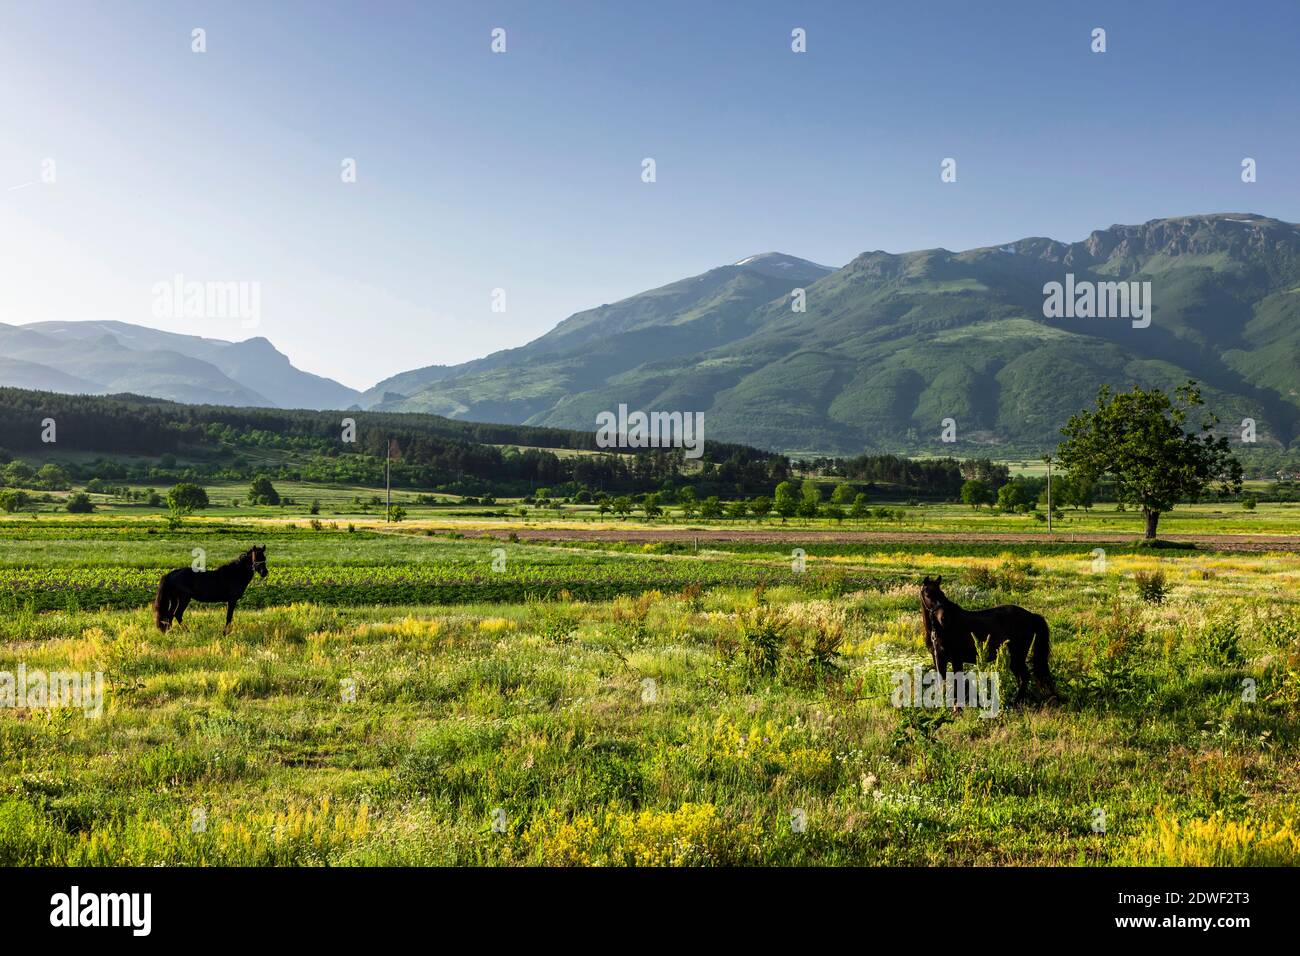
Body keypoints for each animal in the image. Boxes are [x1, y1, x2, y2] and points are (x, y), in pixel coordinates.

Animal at [920, 574, 1060, 702]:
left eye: (942, 594)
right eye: (928, 594)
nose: (944, 619)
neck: (939, 630)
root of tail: (1031, 616)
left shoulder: (956, 659)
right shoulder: (938, 658)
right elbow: (942, 681)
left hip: (1017, 656)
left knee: (1024, 677)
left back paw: (1016, 701)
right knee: (1022, 677)